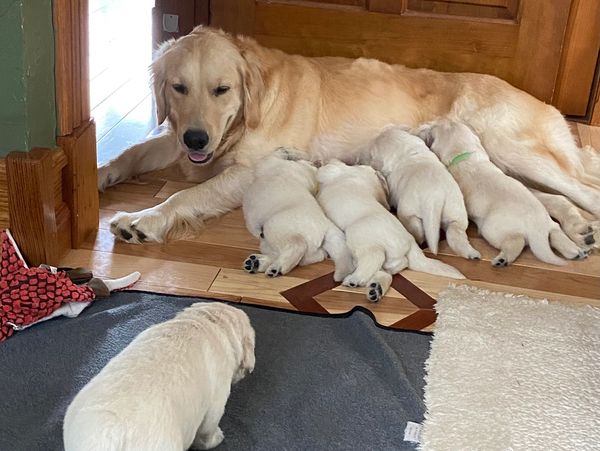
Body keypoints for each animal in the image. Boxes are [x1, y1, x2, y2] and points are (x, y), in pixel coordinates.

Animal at [99, 25, 600, 244]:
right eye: (178, 88)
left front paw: (144, 218)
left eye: (222, 90)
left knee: (583, 188)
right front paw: (102, 172)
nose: (197, 141)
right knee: (549, 198)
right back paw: (577, 226)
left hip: (507, 145)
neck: (246, 116)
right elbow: (134, 151)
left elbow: (185, 195)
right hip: (494, 163)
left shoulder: (251, 169)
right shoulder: (175, 135)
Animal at [241, 148, 354, 280]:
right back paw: (257, 263)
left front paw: (285, 151)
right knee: (313, 256)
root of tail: (326, 225)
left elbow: (271, 157)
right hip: (267, 242)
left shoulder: (270, 163)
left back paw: (277, 267)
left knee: (298, 247)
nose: (283, 146)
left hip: (276, 227)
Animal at [318, 160, 464, 304]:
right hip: (388, 260)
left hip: (358, 232)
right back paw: (375, 289)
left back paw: (354, 279)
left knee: (374, 257)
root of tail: (410, 242)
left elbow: (327, 170)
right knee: (386, 271)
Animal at [364, 127, 480, 260]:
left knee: (417, 230)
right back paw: (472, 254)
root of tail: (434, 198)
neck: (405, 150)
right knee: (455, 233)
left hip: (408, 212)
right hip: (456, 212)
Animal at [414, 120, 588, 268]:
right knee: (556, 233)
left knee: (517, 242)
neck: (466, 155)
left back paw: (503, 259)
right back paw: (576, 252)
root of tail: (537, 227)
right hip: (549, 224)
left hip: (491, 228)